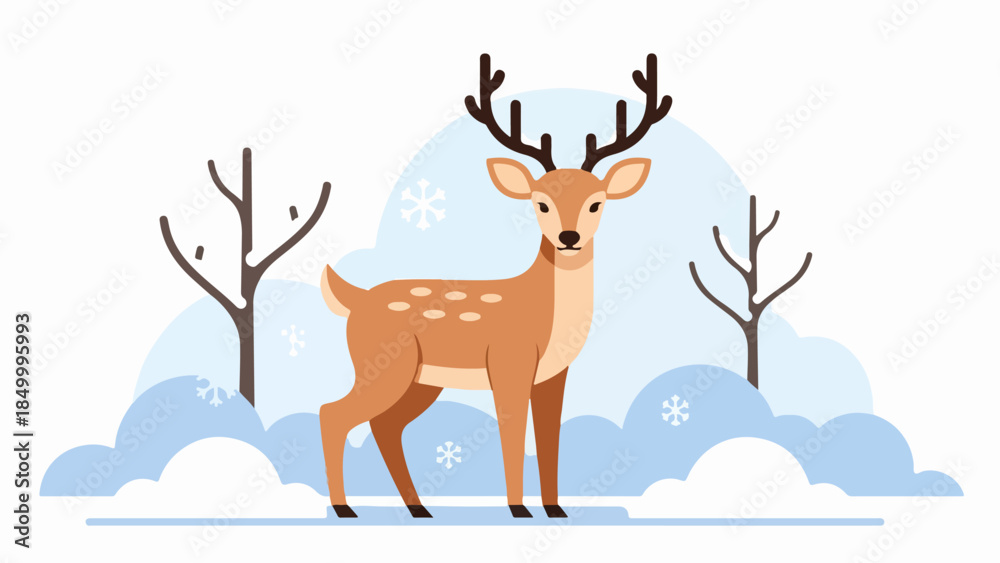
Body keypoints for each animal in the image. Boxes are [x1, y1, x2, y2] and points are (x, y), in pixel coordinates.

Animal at [319, 53, 671, 519]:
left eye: (597, 203)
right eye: (541, 203)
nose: (570, 237)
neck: (547, 316)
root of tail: (353, 299)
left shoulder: (553, 376)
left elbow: (549, 438)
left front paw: (555, 509)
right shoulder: (509, 362)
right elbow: (513, 434)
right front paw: (519, 509)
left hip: (420, 380)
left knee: (384, 425)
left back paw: (418, 509)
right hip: (382, 365)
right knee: (333, 413)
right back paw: (346, 509)